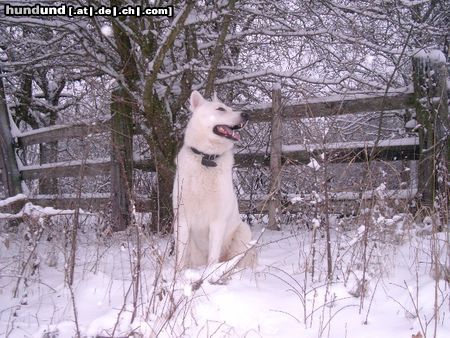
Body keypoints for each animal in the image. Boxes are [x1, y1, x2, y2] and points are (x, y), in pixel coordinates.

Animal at [173, 90, 253, 270]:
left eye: (230, 108)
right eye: (221, 109)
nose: (246, 114)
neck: (206, 159)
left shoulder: (217, 222)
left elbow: (212, 257)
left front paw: (209, 274)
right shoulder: (183, 219)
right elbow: (179, 257)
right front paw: (178, 274)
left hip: (243, 231)